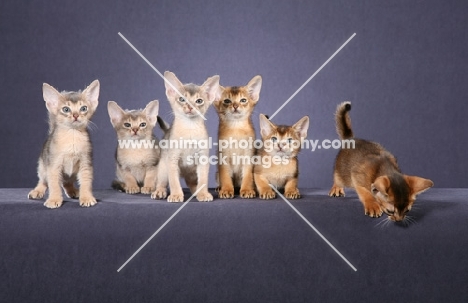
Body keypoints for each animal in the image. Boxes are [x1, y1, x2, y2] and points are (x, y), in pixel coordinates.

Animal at [27, 81, 99, 209]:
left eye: (83, 108)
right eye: (66, 109)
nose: (75, 115)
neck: (72, 136)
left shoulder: (86, 164)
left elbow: (86, 182)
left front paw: (86, 197)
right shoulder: (54, 166)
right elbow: (54, 184)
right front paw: (54, 199)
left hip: (71, 174)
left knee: (66, 183)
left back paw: (74, 191)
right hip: (43, 167)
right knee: (43, 181)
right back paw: (37, 191)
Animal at [152, 71, 221, 203]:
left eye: (199, 101)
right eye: (182, 99)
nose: (189, 107)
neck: (189, 128)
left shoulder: (203, 159)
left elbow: (203, 180)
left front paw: (203, 194)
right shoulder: (172, 160)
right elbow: (174, 181)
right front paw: (175, 195)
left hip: (192, 172)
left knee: (192, 182)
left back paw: (197, 192)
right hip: (163, 167)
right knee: (161, 181)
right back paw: (159, 191)